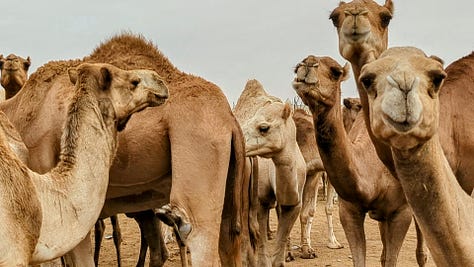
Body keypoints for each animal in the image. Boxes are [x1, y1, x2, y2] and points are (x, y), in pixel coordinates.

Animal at [233, 78, 308, 266]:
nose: (241, 142)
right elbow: (260, 241)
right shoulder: (261, 201)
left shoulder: (294, 204)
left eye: (264, 128)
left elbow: (281, 239)